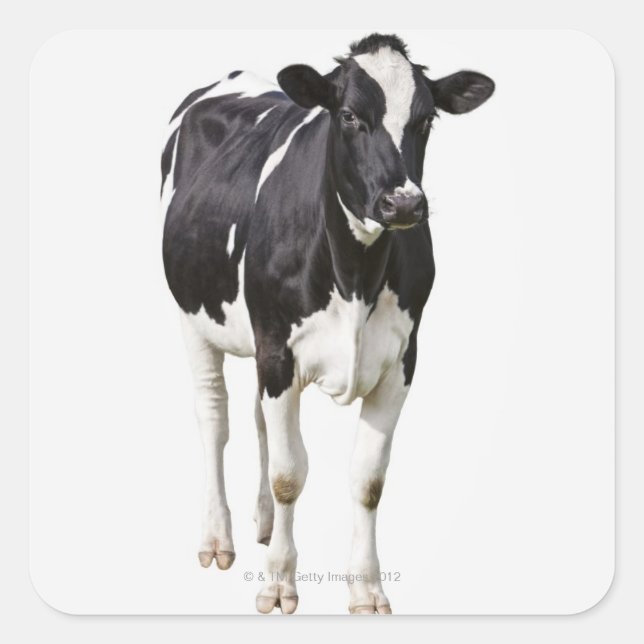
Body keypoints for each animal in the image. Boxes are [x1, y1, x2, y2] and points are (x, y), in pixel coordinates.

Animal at [161, 33, 494, 615]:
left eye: (426, 119)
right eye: (348, 116)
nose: (403, 202)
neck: (355, 274)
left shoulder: (401, 361)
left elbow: (367, 480)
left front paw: (367, 589)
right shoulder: (278, 351)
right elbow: (289, 475)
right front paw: (277, 586)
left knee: (257, 421)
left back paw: (264, 525)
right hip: (194, 318)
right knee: (213, 418)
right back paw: (218, 538)